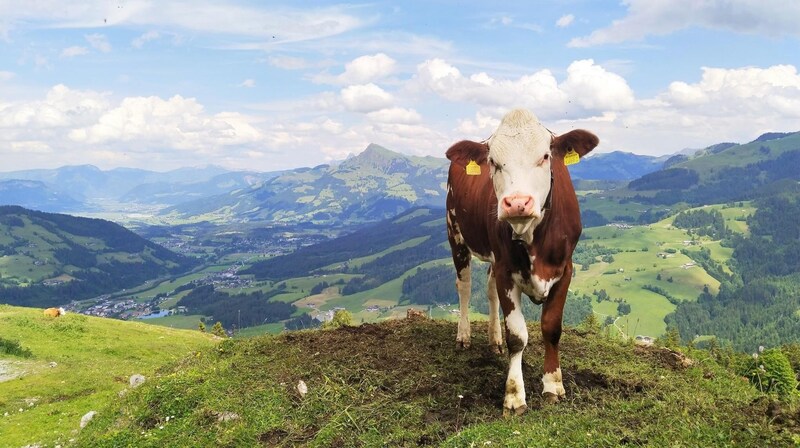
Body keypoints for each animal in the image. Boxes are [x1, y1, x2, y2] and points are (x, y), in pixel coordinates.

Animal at [444, 107, 600, 412]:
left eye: (545, 156)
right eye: (493, 162)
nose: (517, 203)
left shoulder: (565, 270)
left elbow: (552, 328)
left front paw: (553, 385)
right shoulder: (507, 271)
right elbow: (517, 336)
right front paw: (515, 395)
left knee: (489, 289)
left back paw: (494, 340)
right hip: (455, 232)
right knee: (464, 286)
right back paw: (464, 336)